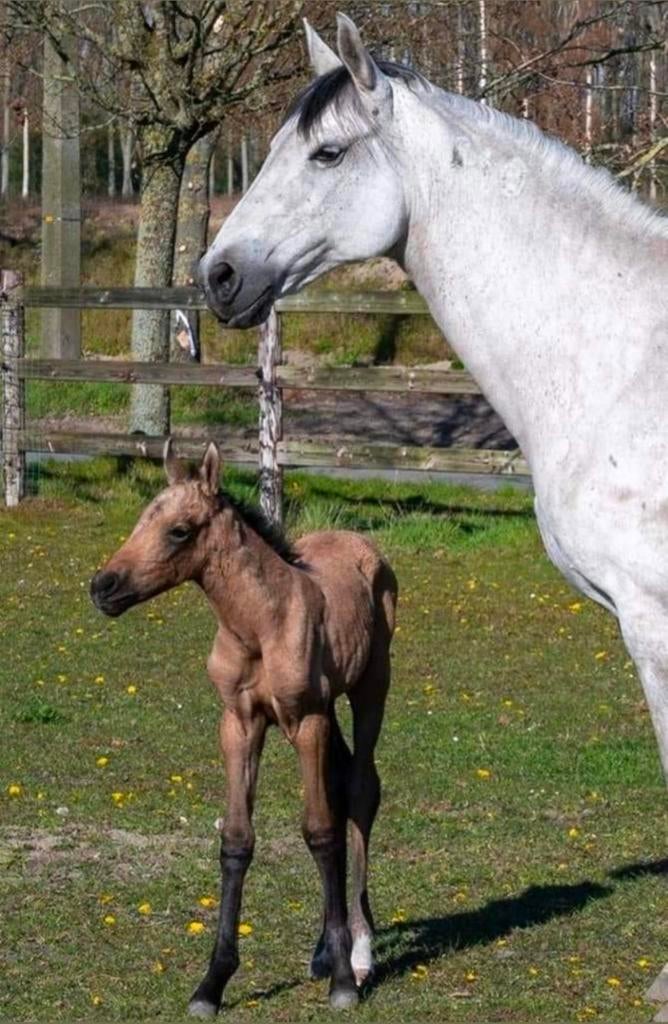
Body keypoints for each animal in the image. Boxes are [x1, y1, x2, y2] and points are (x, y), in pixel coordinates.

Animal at [89, 440, 397, 1016]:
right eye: (142, 519)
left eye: (179, 531)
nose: (103, 587)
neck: (259, 623)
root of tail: (359, 541)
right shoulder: (238, 722)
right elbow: (235, 841)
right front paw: (212, 983)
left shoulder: (306, 721)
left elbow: (320, 832)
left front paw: (344, 982)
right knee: (342, 782)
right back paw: (325, 949)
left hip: (371, 687)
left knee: (362, 790)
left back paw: (360, 950)